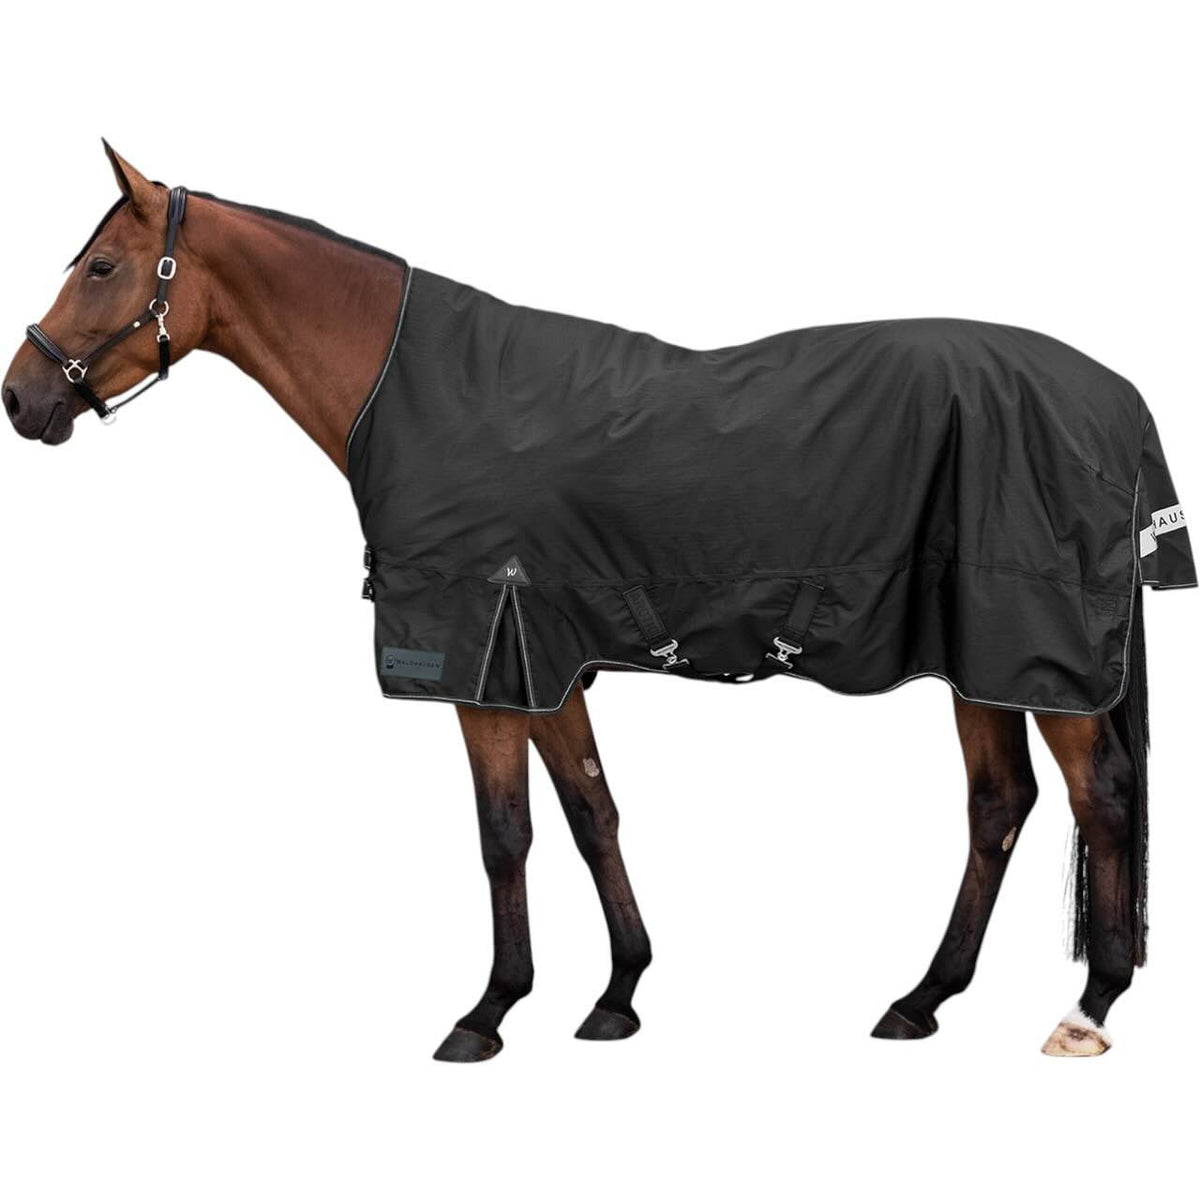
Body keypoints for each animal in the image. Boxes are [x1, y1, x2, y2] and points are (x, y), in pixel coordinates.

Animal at [4, 142, 1193, 1062]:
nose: (20, 398)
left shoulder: (482, 663)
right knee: (1000, 807)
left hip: (1035, 653)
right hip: (982, 655)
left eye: (101, 265)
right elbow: (590, 813)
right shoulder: (546, 659)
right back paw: (919, 1000)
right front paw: (618, 993)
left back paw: (1089, 1010)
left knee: (1101, 800)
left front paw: (487, 1012)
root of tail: (1116, 396)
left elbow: (506, 834)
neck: (415, 389)